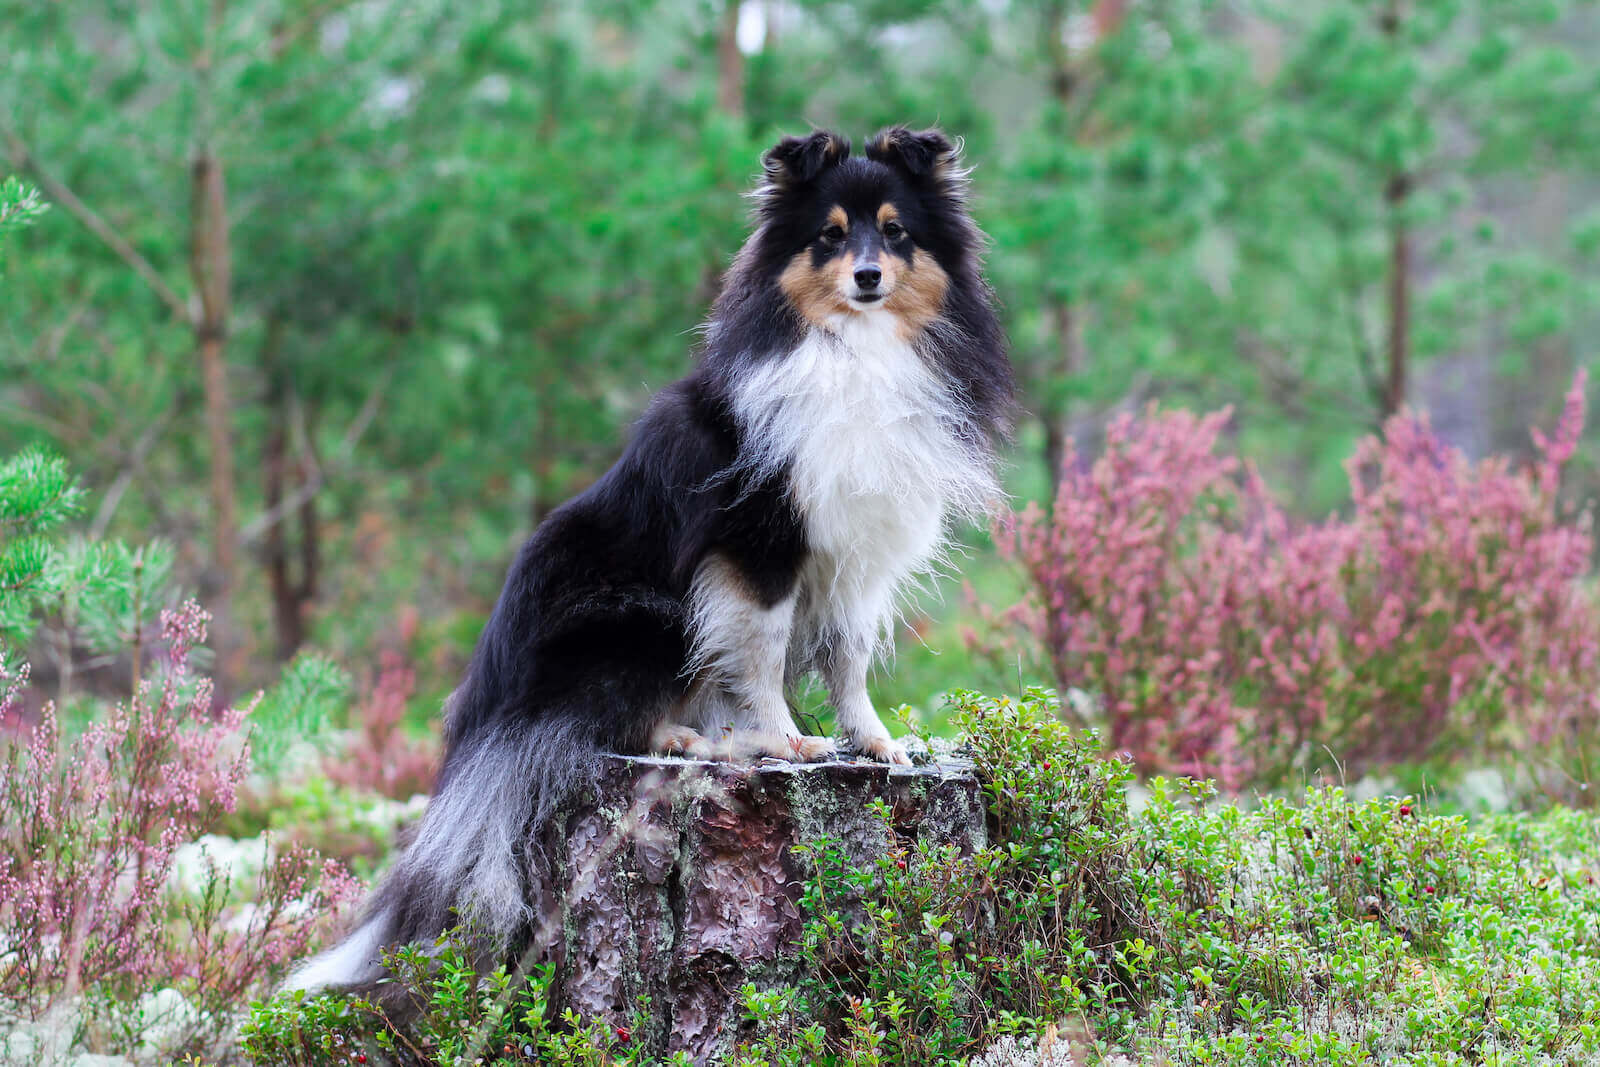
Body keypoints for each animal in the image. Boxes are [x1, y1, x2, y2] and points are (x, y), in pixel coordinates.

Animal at [289, 129, 1011, 998]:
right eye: (830, 236)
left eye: (897, 232)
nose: (868, 276)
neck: (854, 351)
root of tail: (489, 716)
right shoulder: (757, 544)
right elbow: (763, 653)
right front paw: (786, 741)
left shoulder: (854, 559)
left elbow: (850, 658)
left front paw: (875, 743)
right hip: (643, 614)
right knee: (611, 723)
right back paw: (704, 740)